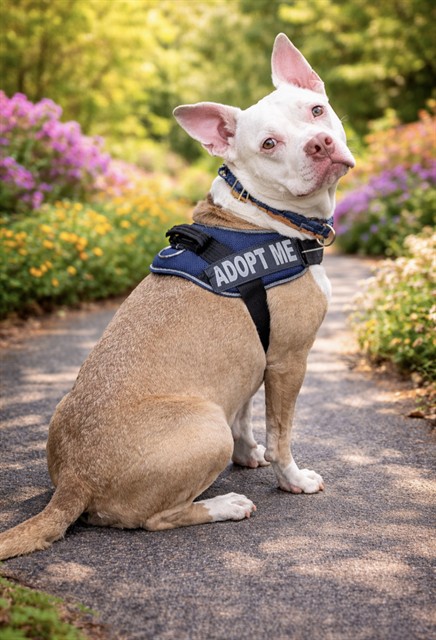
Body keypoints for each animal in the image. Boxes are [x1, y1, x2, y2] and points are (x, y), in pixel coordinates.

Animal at [0, 34, 354, 559]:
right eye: (269, 144)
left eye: (316, 110)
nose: (320, 143)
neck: (261, 215)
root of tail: (75, 481)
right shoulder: (288, 361)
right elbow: (281, 434)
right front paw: (292, 479)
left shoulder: (252, 359)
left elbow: (246, 416)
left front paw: (249, 455)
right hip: (204, 428)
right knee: (155, 520)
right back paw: (224, 505)